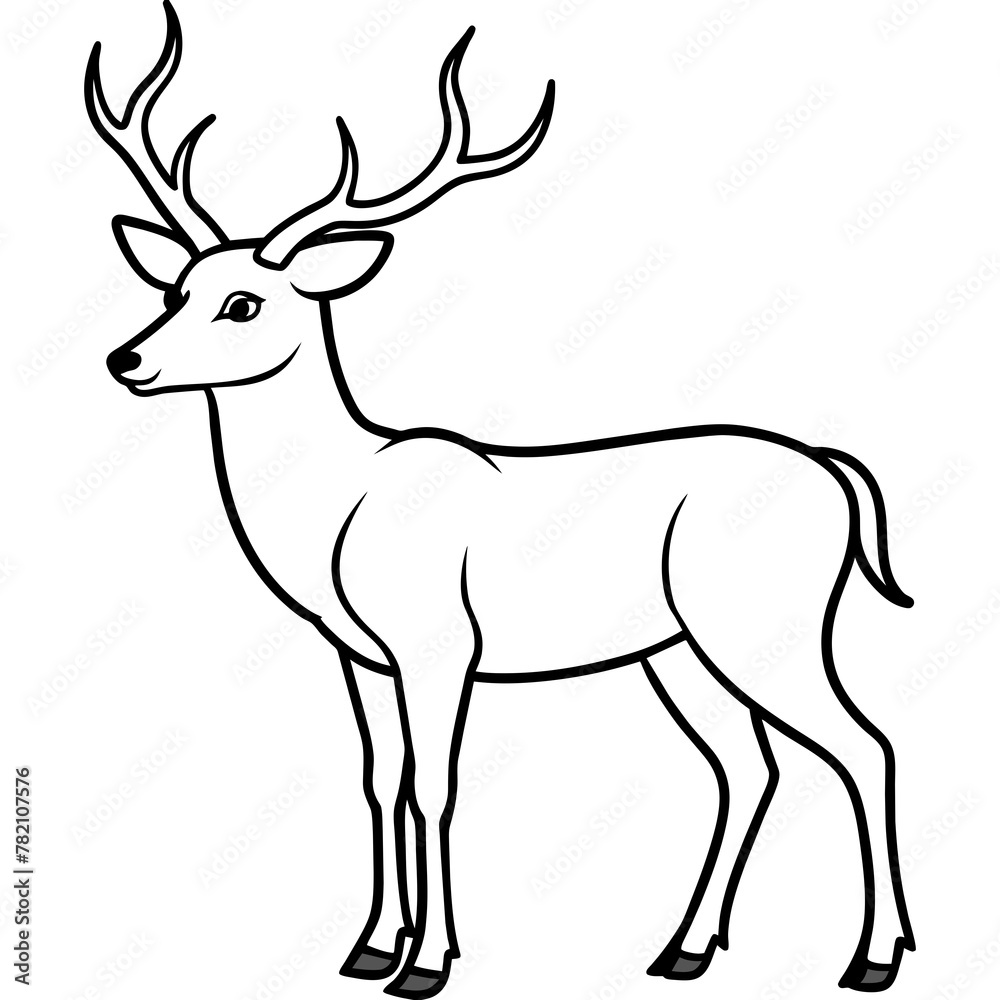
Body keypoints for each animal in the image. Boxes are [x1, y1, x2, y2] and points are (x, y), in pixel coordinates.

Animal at [89, 3, 915, 996]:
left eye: (244, 303)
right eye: (176, 287)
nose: (126, 359)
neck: (341, 509)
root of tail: (834, 471)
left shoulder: (440, 642)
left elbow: (435, 785)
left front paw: (427, 962)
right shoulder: (360, 653)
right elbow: (381, 778)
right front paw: (369, 946)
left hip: (764, 622)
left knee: (865, 745)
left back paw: (873, 958)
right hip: (678, 648)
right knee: (749, 766)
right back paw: (683, 949)